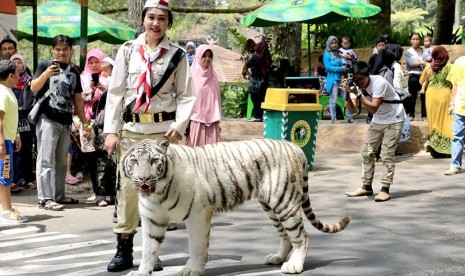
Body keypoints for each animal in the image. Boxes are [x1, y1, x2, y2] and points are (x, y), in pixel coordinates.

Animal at [122, 137, 348, 274]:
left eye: (154, 161)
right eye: (134, 161)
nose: (144, 179)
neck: (157, 194)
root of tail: (294, 147)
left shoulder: (197, 215)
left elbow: (196, 247)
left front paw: (192, 270)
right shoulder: (152, 220)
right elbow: (148, 251)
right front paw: (142, 272)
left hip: (284, 202)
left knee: (302, 236)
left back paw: (293, 265)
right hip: (271, 206)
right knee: (285, 235)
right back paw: (277, 258)